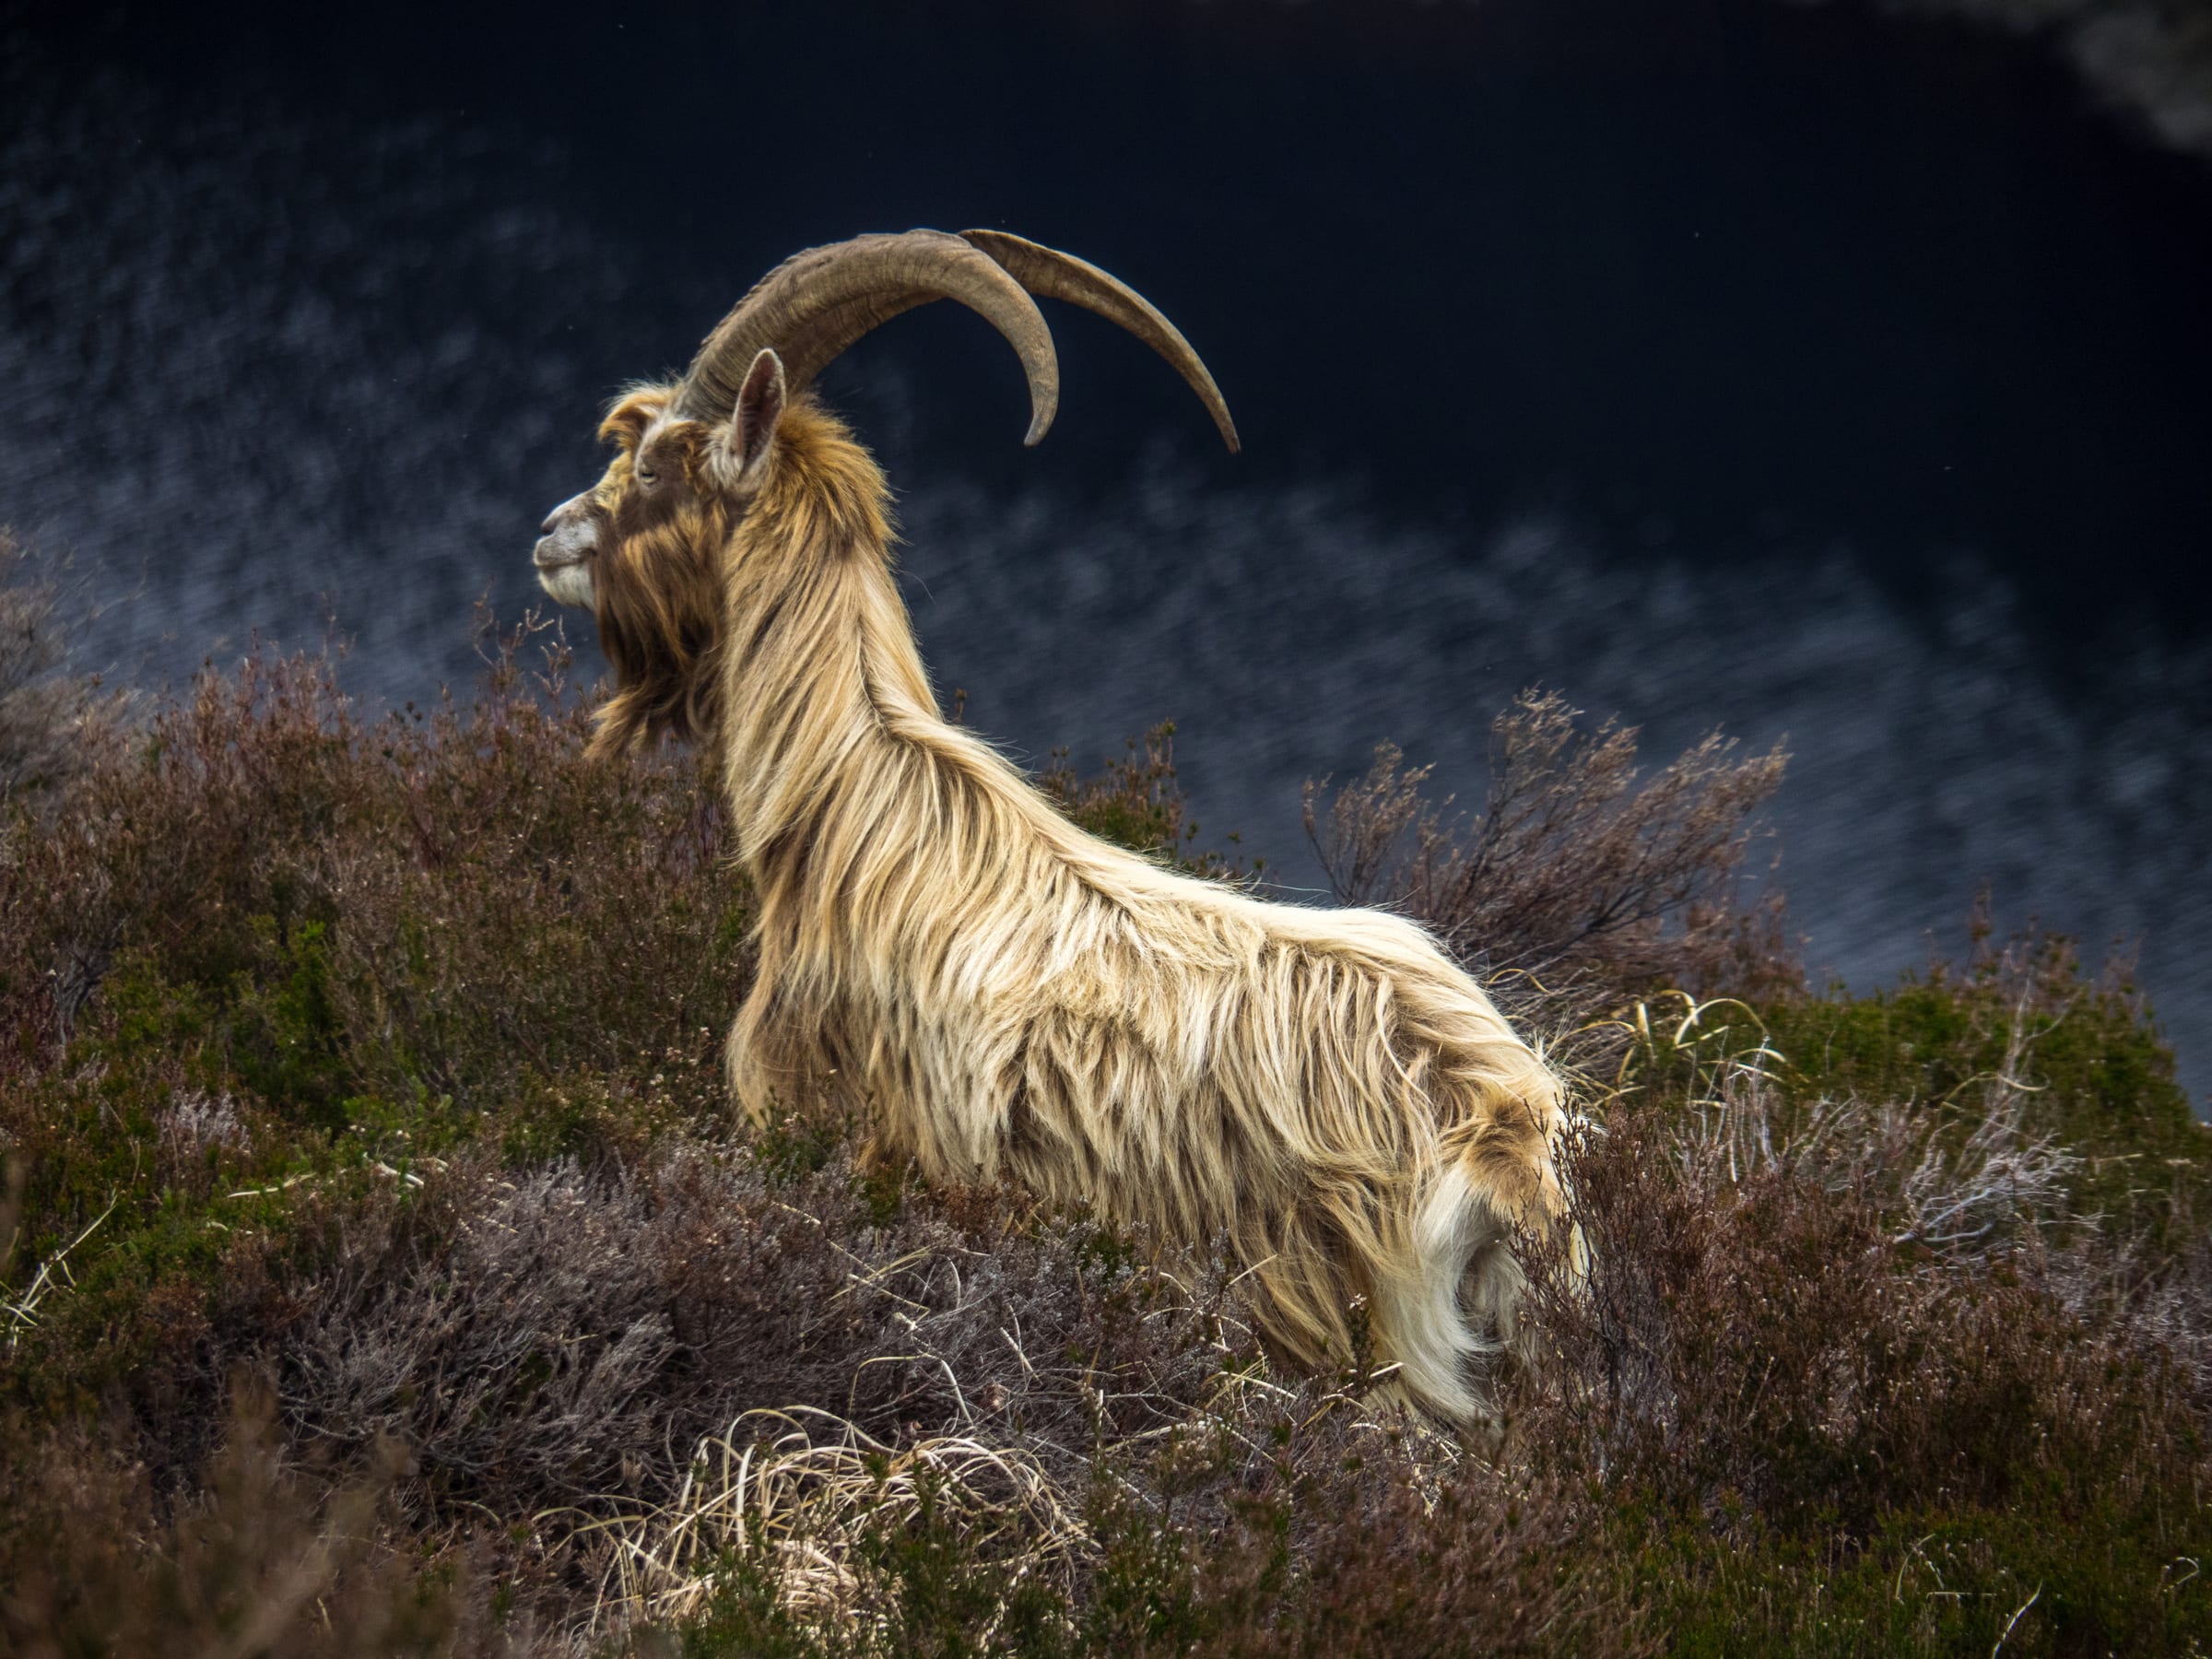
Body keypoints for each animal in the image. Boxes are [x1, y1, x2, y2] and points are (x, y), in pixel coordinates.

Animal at [531, 229, 1571, 1423]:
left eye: (660, 464)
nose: (550, 535)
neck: (849, 812)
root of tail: (1494, 1126)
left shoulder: (833, 1132)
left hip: (1344, 1332)